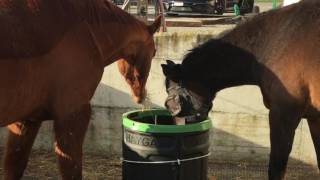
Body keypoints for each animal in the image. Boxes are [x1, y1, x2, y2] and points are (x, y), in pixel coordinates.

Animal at [0, 0, 161, 179]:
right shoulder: (73, 115)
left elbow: (14, 166)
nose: (140, 96)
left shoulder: (27, 120)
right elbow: (72, 170)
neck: (86, 29)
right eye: (154, 52)